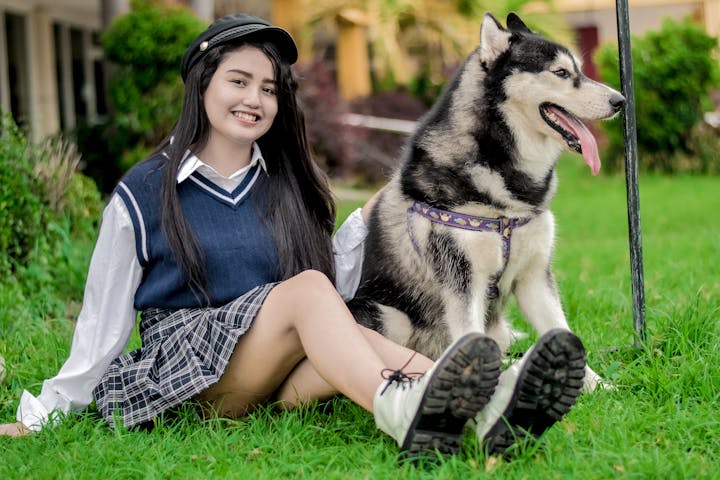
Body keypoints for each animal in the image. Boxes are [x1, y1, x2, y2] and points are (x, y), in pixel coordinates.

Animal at [346, 13, 620, 392]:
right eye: (561, 72)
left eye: (579, 68)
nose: (620, 101)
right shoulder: (464, 282)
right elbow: (470, 335)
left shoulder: (534, 277)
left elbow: (562, 329)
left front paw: (596, 386)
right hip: (392, 317)